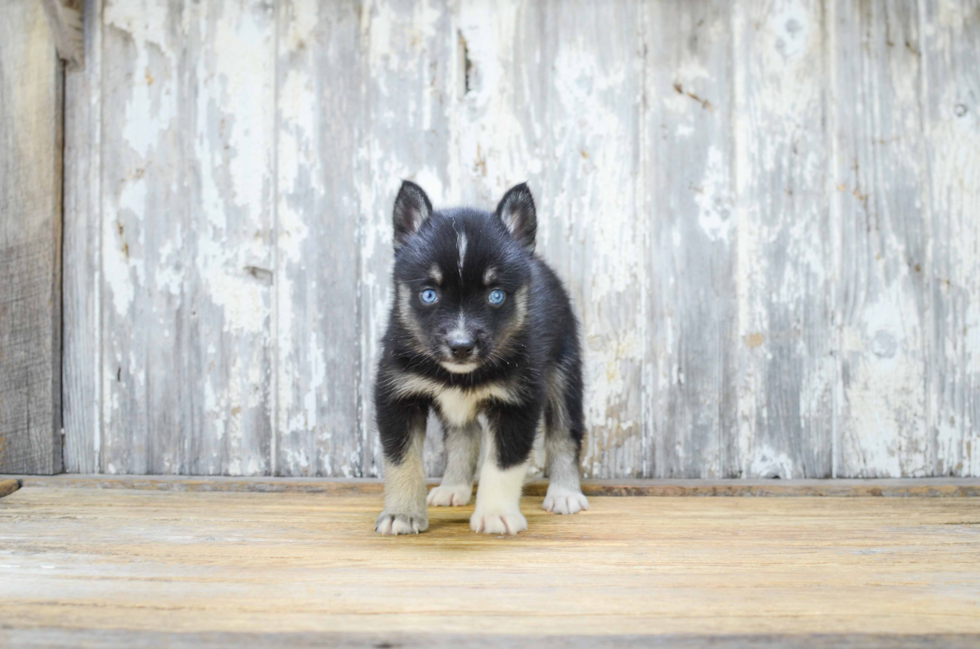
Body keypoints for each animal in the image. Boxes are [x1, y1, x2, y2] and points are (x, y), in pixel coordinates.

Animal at [376, 180, 588, 536]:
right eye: (429, 294)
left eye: (496, 296)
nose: (461, 346)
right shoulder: (397, 397)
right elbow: (401, 461)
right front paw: (402, 513)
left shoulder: (518, 403)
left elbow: (503, 463)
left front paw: (496, 514)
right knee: (464, 436)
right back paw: (453, 487)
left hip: (564, 372)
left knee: (564, 433)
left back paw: (564, 493)